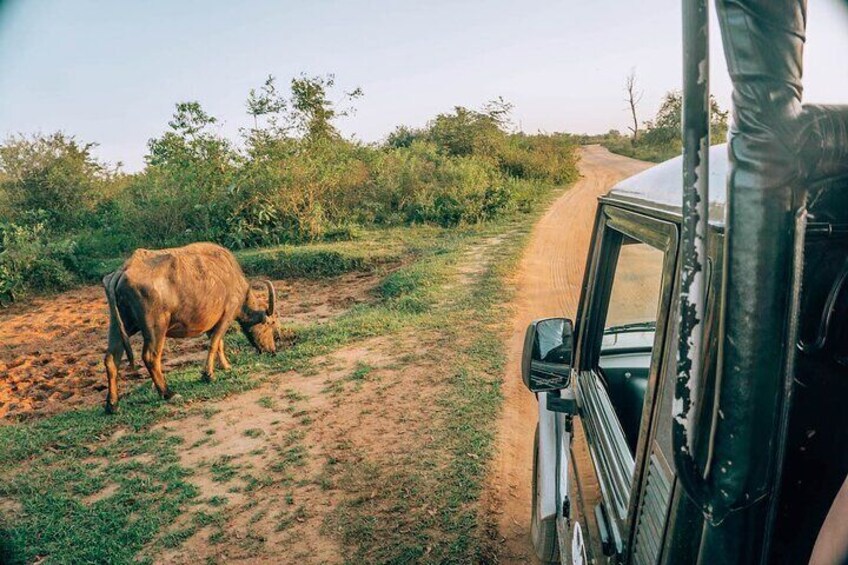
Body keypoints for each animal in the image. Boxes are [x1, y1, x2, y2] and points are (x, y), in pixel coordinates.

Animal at [101, 240, 276, 412]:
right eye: (269, 325)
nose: (272, 351)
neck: (234, 278)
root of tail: (123, 270)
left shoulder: (212, 323)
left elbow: (219, 344)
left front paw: (225, 366)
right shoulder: (227, 315)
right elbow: (214, 344)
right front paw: (208, 375)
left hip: (118, 325)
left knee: (111, 358)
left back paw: (112, 404)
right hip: (156, 327)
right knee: (150, 357)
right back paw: (168, 393)